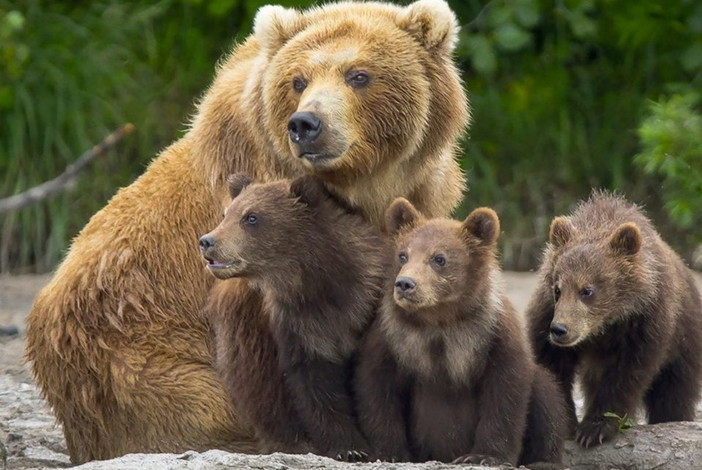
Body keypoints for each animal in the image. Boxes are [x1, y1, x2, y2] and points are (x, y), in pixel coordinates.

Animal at [24, 0, 470, 462]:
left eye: (359, 74)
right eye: (298, 80)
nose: (306, 124)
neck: (361, 187)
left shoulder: (419, 196)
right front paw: (313, 437)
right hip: (135, 360)